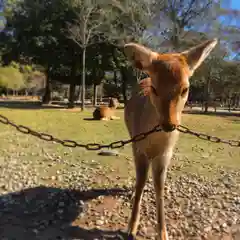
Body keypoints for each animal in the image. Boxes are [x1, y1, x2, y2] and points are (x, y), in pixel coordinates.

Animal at [124, 38, 218, 239]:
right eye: (154, 88)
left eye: (185, 89)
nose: (169, 124)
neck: (155, 142)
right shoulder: (139, 147)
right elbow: (140, 182)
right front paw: (131, 228)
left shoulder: (166, 154)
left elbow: (159, 186)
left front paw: (163, 233)